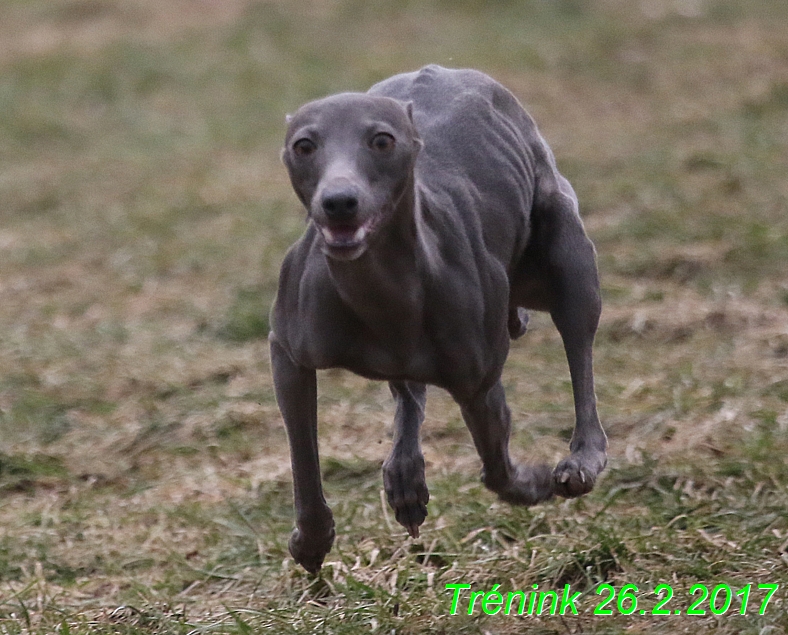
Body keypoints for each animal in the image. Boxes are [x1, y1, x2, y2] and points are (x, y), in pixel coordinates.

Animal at [268, 66, 608, 576]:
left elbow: (499, 470)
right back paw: (405, 474)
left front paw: (537, 483)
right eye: (304, 145)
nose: (339, 201)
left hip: (568, 255)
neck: (381, 291)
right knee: (409, 390)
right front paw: (311, 541)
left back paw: (584, 456)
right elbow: (303, 458)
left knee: (579, 355)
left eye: (382, 140)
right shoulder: (288, 354)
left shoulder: (480, 385)